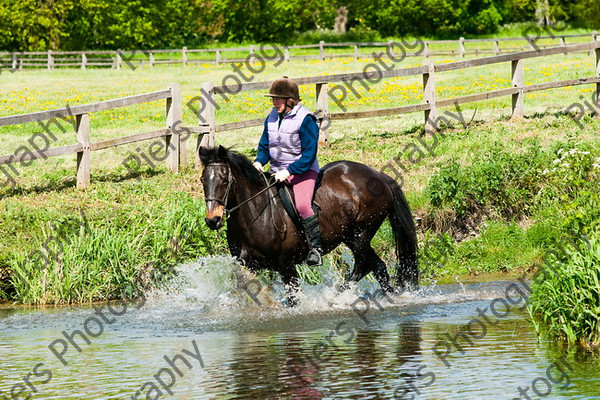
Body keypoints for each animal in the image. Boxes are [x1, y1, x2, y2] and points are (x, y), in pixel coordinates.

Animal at [197, 145, 418, 304]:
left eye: (225, 180)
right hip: (350, 237)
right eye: (203, 180)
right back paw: (391, 297)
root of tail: (379, 176)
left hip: (361, 233)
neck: (254, 214)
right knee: (378, 266)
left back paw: (335, 298)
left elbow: (294, 297)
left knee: (361, 266)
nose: (213, 220)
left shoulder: (286, 265)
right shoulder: (245, 264)